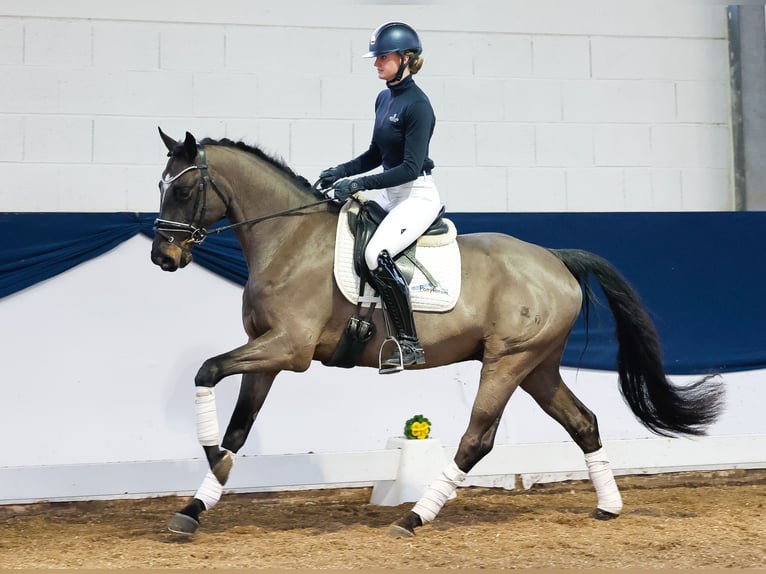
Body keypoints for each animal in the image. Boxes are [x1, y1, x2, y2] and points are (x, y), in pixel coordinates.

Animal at [150, 129, 728, 540]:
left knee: (478, 438)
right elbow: (237, 428)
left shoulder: (288, 349)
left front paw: (208, 460)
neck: (288, 239)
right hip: (538, 366)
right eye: (161, 186)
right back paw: (608, 507)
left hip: (507, 362)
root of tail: (555, 259)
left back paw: (413, 519)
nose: (163, 256)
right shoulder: (267, 353)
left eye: (183, 188)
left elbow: (206, 370)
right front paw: (196, 505)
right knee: (582, 422)